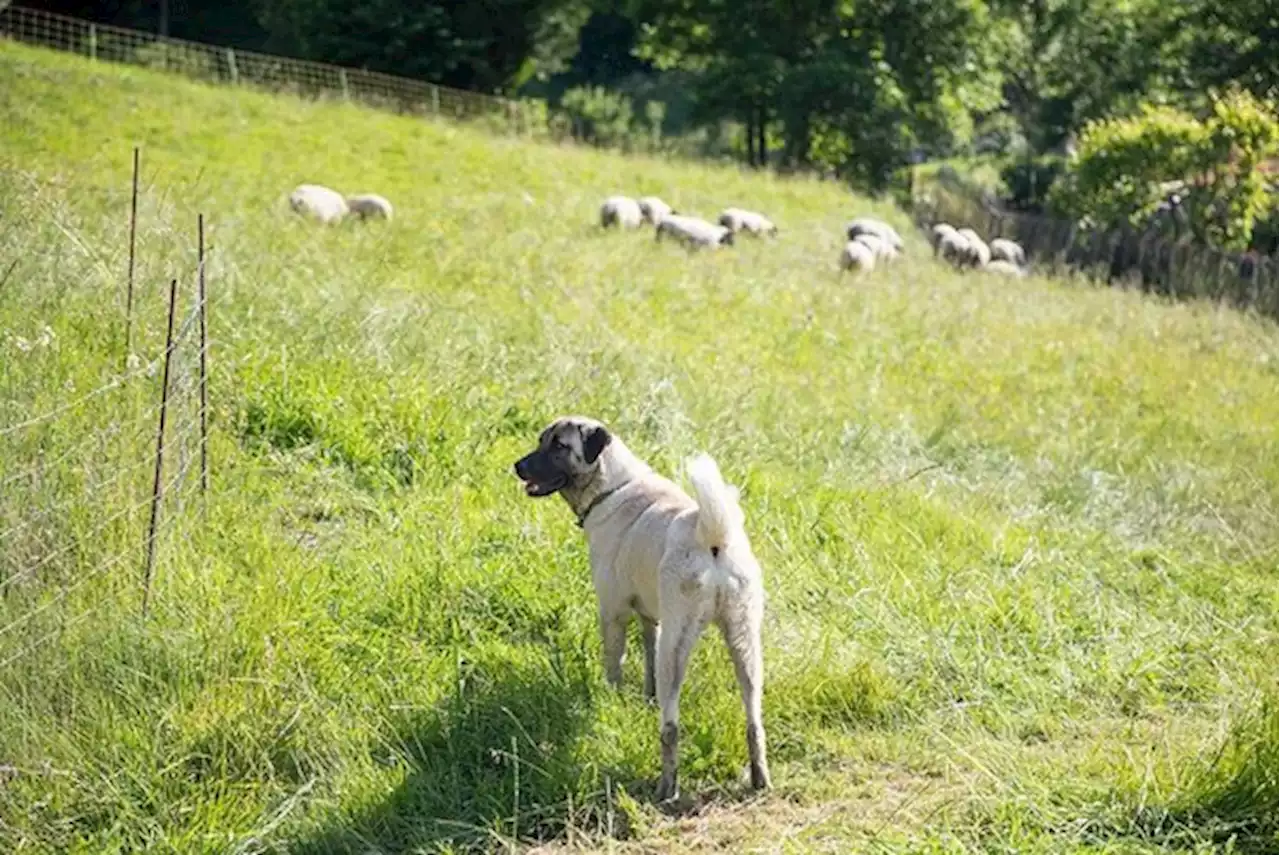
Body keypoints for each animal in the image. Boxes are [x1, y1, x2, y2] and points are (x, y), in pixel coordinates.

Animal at [512, 414, 768, 803]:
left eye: (559, 446)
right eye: (541, 440)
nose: (518, 467)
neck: (612, 486)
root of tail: (712, 537)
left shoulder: (612, 615)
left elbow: (613, 668)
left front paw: (611, 704)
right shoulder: (652, 621)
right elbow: (648, 662)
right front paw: (646, 700)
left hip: (677, 648)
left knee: (671, 728)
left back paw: (666, 789)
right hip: (745, 645)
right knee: (754, 721)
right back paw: (759, 779)